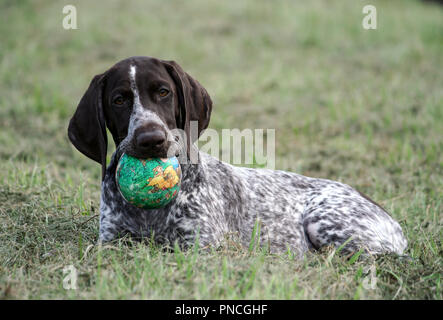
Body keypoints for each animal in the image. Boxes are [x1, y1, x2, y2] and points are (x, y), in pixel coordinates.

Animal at [67, 56, 408, 256]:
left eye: (163, 92)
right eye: (119, 100)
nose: (152, 140)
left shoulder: (202, 246)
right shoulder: (111, 240)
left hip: (325, 221)